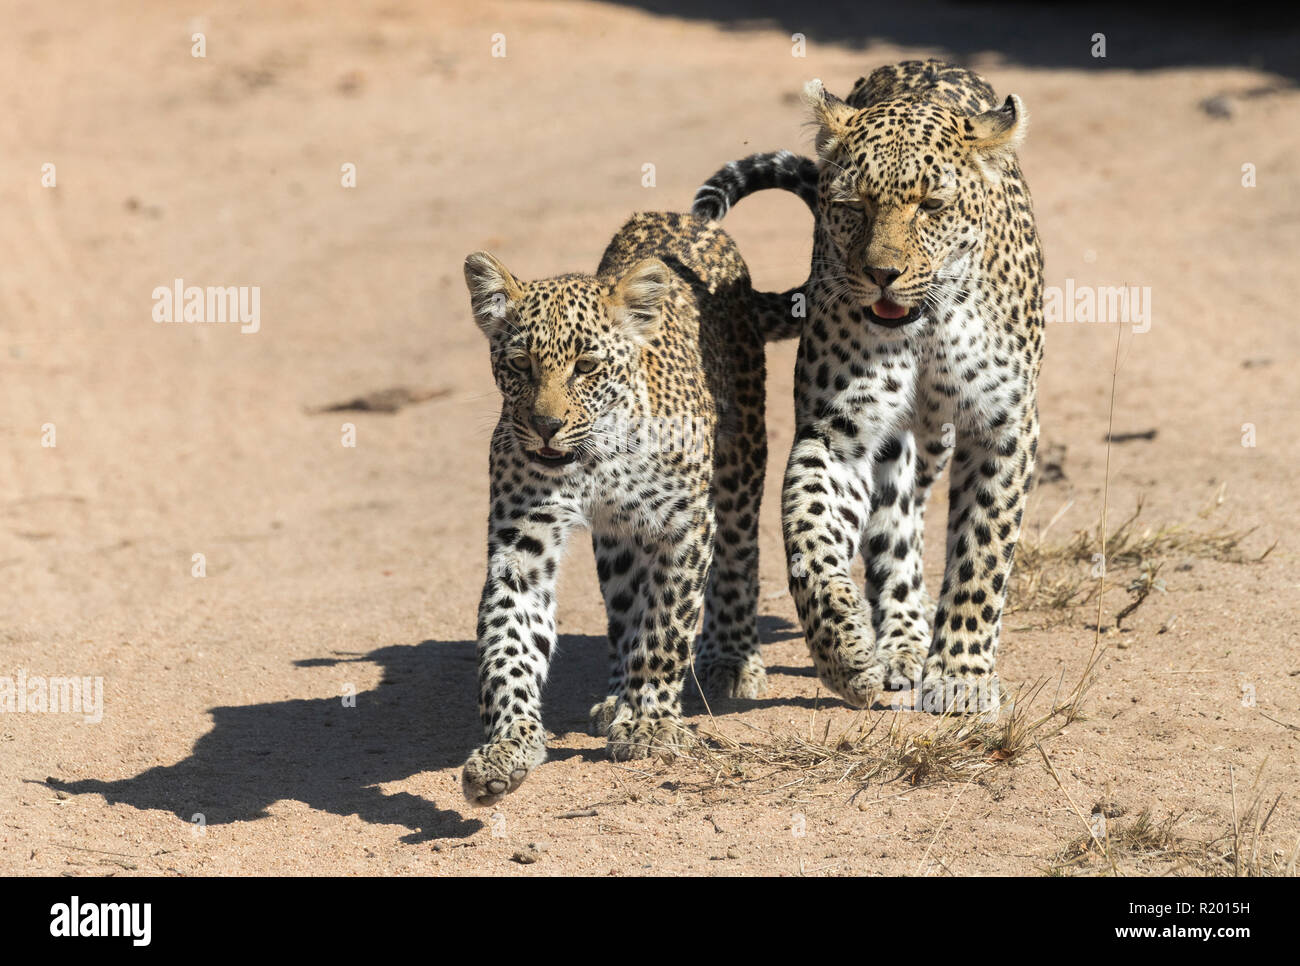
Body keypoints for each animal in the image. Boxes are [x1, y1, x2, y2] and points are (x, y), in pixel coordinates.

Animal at [691, 60, 1045, 712]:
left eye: (931, 205)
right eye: (852, 204)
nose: (883, 274)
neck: (929, 324)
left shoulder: (1003, 428)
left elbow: (982, 553)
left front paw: (961, 673)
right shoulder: (840, 434)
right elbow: (808, 532)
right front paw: (844, 650)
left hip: (932, 443)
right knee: (892, 531)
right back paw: (894, 642)